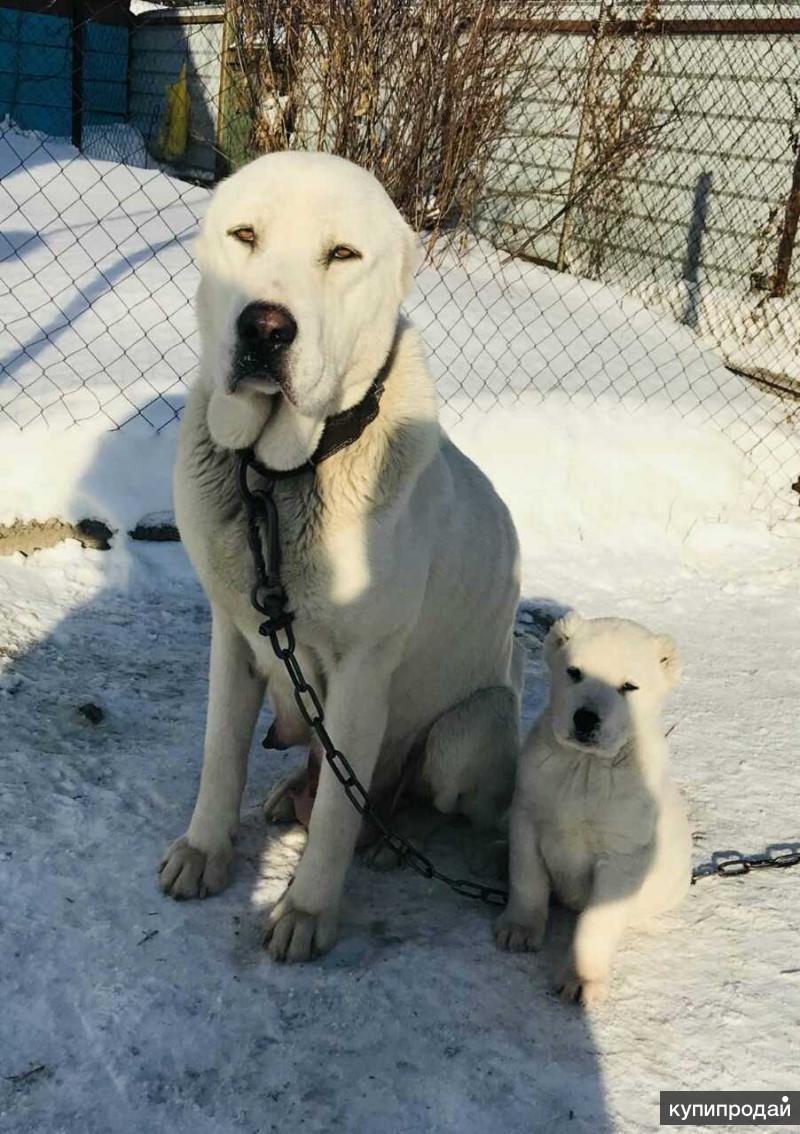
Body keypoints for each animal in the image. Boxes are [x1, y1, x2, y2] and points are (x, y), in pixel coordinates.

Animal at [158, 153, 521, 966]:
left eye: (342, 256)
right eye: (244, 235)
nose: (264, 327)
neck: (279, 479)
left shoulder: (360, 674)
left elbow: (333, 820)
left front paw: (307, 910)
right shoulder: (234, 637)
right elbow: (219, 755)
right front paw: (205, 850)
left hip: (466, 731)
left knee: (402, 798)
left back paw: (389, 838)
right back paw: (287, 796)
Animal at [497, 616, 689, 1006]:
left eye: (629, 686)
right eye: (574, 671)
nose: (585, 719)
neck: (585, 766)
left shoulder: (623, 852)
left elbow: (598, 920)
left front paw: (581, 980)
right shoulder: (527, 813)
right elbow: (527, 877)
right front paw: (518, 929)